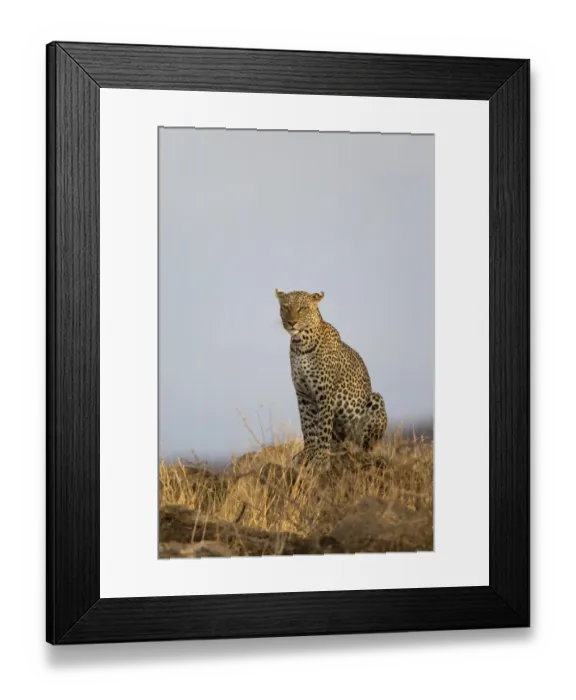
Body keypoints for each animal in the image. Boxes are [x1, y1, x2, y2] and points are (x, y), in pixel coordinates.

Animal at [275, 289, 388, 470]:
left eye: (302, 308)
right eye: (285, 307)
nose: (292, 323)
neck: (301, 345)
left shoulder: (325, 394)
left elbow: (323, 430)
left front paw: (321, 459)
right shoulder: (303, 395)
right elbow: (307, 427)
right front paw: (307, 455)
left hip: (375, 400)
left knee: (366, 446)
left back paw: (355, 453)